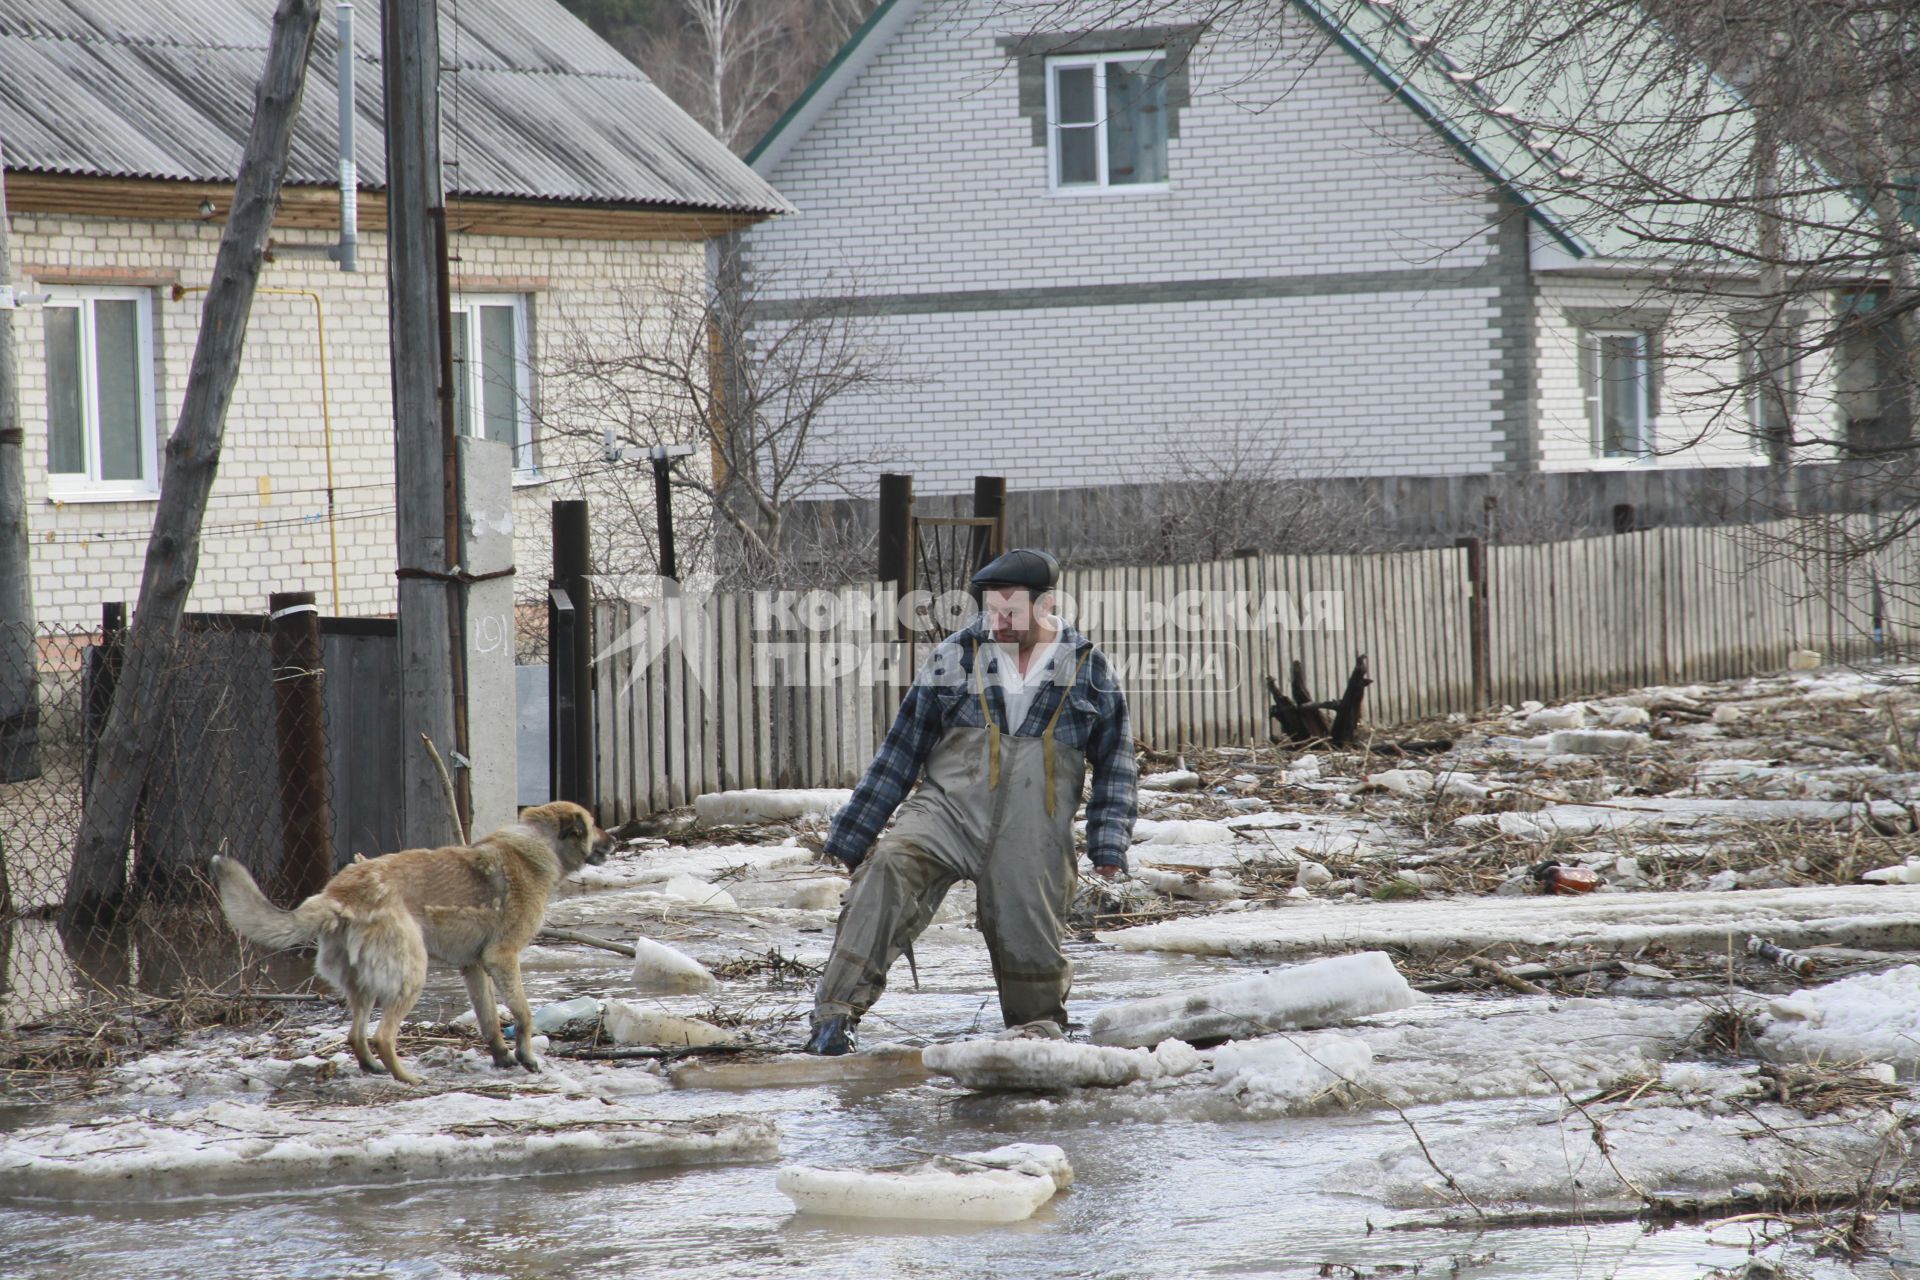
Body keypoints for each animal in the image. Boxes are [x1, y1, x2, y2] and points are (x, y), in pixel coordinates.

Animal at [208, 802, 606, 1082]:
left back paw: (373, 1068)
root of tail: (339, 895)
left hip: (363, 983)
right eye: (593, 824)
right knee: (383, 1036)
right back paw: (408, 1078)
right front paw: (526, 1057)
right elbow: (523, 1014)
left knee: (356, 1035)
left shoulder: (473, 967)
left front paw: (502, 1057)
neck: (538, 845)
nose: (614, 839)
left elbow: (489, 1019)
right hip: (411, 975)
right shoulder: (503, 958)